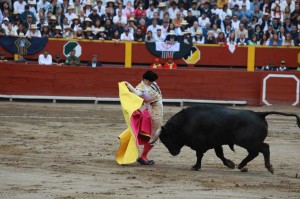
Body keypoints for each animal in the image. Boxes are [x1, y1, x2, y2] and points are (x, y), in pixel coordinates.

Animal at [150, 105, 300, 173]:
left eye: (166, 139)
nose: (174, 153)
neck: (185, 122)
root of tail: (259, 114)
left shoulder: (200, 144)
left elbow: (199, 155)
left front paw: (196, 166)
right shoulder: (216, 142)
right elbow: (220, 154)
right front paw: (230, 164)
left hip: (247, 141)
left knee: (264, 148)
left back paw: (269, 167)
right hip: (249, 143)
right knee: (255, 152)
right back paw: (241, 165)